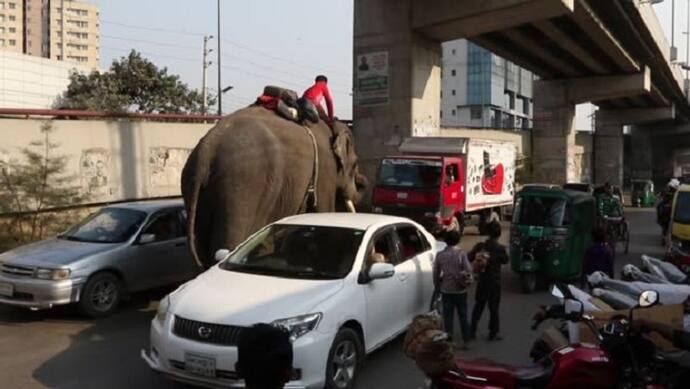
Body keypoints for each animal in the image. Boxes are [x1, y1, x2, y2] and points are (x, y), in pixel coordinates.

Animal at [181, 106, 366, 270]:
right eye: (356, 163)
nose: (361, 183)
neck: (331, 125)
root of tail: (205, 153)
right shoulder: (325, 171)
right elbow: (323, 211)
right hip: (241, 188)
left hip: (195, 190)